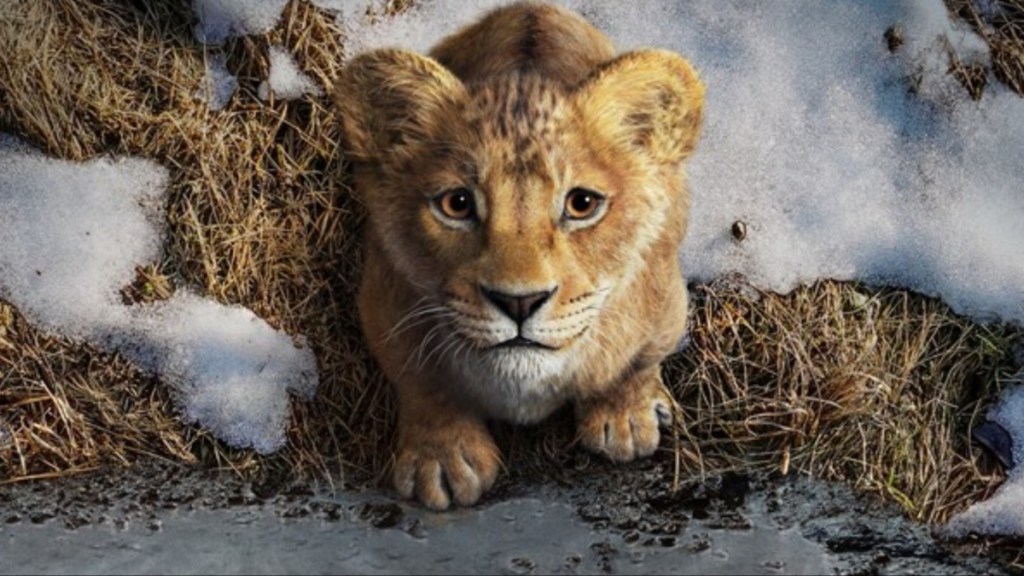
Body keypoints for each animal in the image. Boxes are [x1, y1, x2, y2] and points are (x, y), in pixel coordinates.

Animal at [335, 2, 704, 510]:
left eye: (582, 204)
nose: (519, 302)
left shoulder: (665, 301)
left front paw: (625, 418)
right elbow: (422, 382)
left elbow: (636, 362)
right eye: (457, 204)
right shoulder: (384, 301)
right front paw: (442, 459)